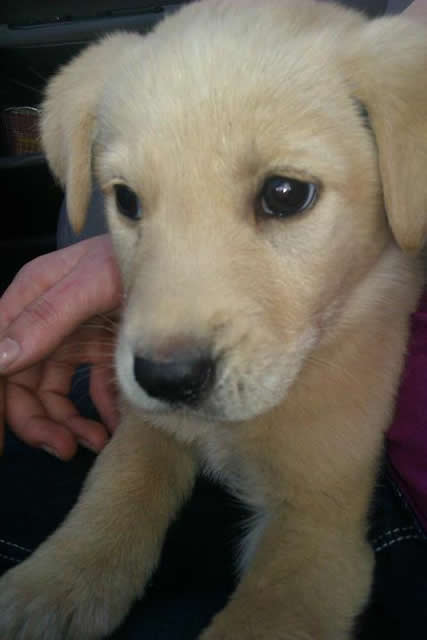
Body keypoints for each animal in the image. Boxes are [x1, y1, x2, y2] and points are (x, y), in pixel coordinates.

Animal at [0, 1, 427, 640]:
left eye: (285, 194)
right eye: (125, 200)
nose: (167, 379)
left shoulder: (319, 529)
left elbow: (263, 616)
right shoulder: (149, 425)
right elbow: (115, 486)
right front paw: (56, 581)